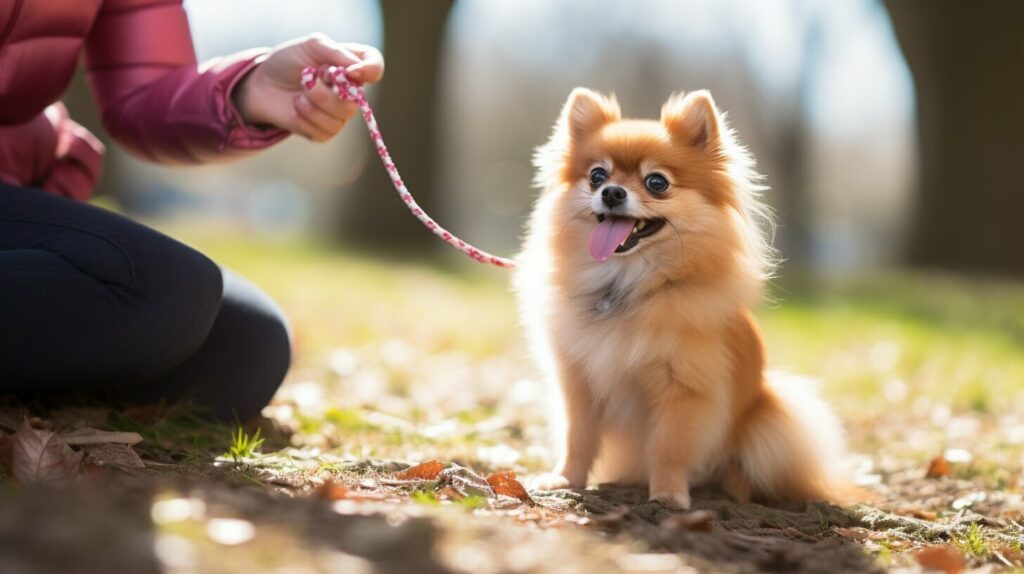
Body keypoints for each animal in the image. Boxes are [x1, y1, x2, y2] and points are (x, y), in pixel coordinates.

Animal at [516, 88, 843, 505]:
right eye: (596, 176)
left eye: (656, 182)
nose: (611, 192)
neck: (626, 286)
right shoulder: (579, 380)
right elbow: (579, 437)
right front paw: (565, 478)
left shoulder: (683, 389)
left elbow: (669, 445)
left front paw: (668, 494)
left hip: (775, 416)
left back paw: (734, 486)